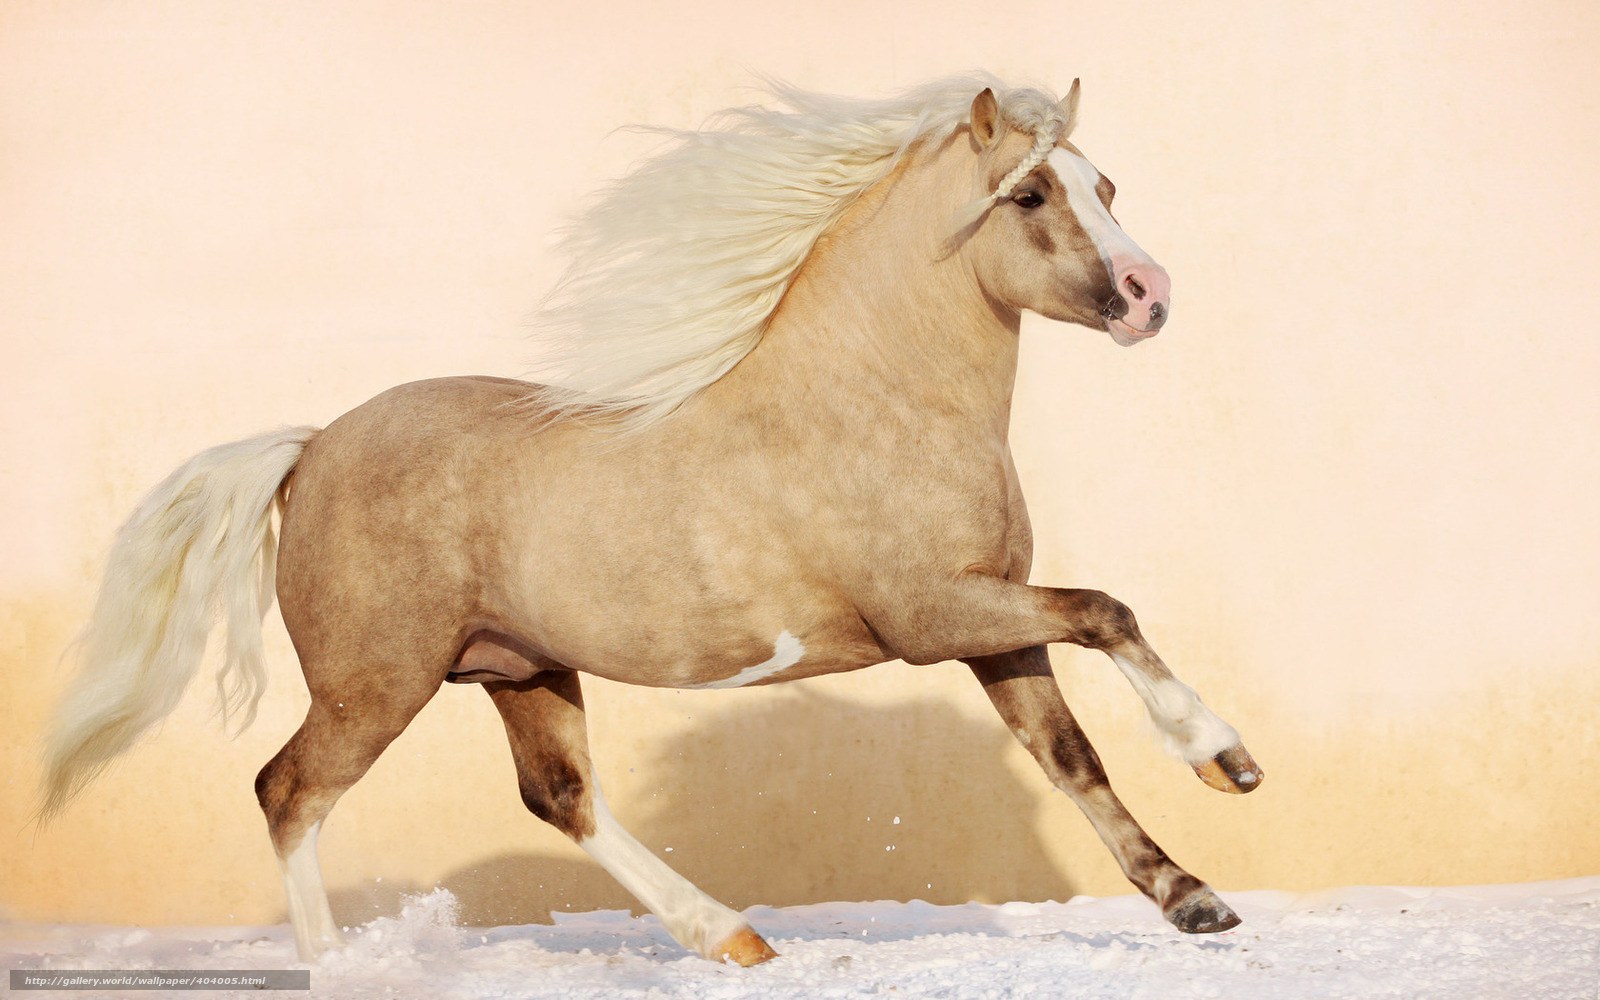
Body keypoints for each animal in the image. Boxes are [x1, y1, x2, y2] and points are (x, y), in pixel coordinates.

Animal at [40, 74, 1262, 967]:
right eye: (1030, 197)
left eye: (1107, 182)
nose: (1151, 295)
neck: (877, 399)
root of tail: (311, 448)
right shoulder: (936, 615)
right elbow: (1107, 610)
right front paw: (1224, 757)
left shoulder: (991, 623)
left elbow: (1071, 752)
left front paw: (1194, 896)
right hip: (373, 685)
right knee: (289, 793)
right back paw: (342, 968)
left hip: (521, 669)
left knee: (561, 796)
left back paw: (731, 937)